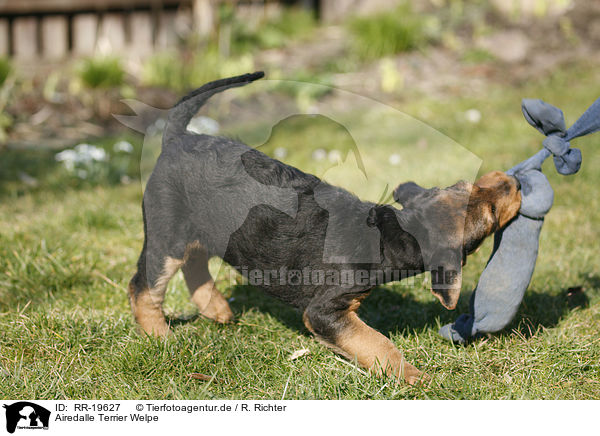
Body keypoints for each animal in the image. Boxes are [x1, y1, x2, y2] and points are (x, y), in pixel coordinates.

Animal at [127, 72, 520, 384]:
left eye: (468, 185)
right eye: (488, 215)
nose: (512, 181)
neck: (390, 234)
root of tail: (177, 138)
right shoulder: (325, 310)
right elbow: (378, 343)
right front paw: (415, 378)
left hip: (203, 228)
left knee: (194, 262)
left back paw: (217, 309)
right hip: (167, 231)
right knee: (144, 287)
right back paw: (161, 339)